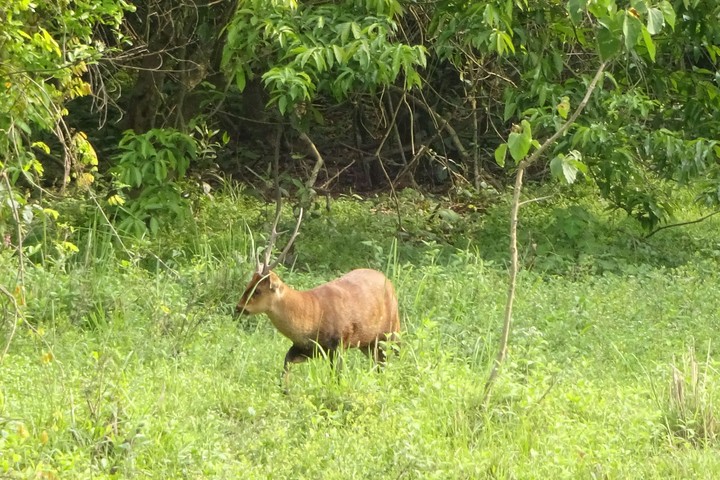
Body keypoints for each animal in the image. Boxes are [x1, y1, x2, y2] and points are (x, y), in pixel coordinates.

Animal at [236, 201, 400, 389]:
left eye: (257, 290)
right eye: (247, 285)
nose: (239, 307)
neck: (311, 314)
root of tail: (390, 283)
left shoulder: (338, 344)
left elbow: (337, 377)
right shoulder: (305, 348)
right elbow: (286, 363)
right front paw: (285, 389)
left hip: (392, 330)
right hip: (368, 343)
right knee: (380, 364)